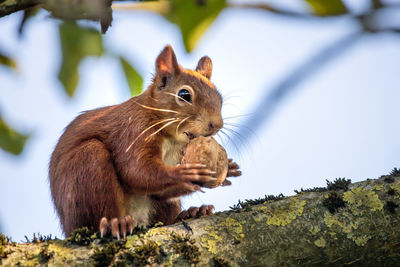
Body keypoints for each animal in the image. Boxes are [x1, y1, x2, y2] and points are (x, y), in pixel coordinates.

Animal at [48, 45, 239, 240]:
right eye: (184, 94)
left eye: (220, 98)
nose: (216, 125)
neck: (172, 139)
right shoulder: (133, 131)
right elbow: (135, 170)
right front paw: (184, 174)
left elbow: (157, 189)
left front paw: (229, 168)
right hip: (86, 170)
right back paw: (115, 223)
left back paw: (191, 213)